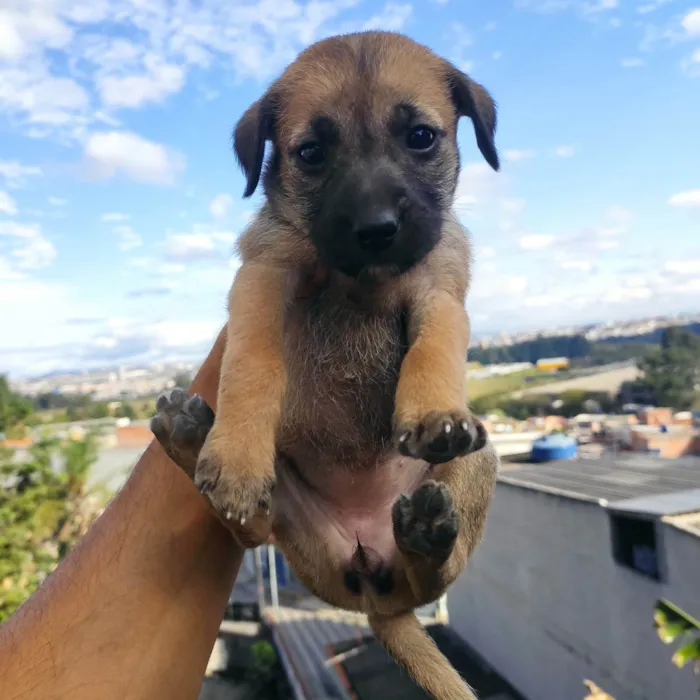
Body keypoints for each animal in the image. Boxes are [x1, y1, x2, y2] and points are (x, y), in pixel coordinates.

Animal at [154, 30, 504, 700]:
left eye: (420, 136)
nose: (376, 228)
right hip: (293, 519)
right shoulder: (263, 279)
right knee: (252, 528)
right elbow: (253, 364)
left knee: (432, 575)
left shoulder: (439, 290)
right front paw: (236, 455)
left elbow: (434, 348)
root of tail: (373, 596)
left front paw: (435, 414)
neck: (358, 282)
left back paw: (427, 535)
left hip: (479, 463)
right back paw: (193, 442)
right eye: (311, 152)